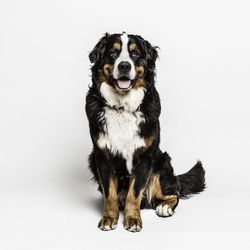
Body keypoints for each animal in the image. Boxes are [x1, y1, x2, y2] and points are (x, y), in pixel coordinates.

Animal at [86, 31, 205, 232]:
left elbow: (134, 194)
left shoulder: (144, 156)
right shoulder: (102, 155)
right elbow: (110, 193)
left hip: (161, 163)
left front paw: (132, 219)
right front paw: (109, 218)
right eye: (113, 53)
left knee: (173, 194)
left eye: (134, 54)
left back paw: (164, 207)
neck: (122, 107)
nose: (124, 65)